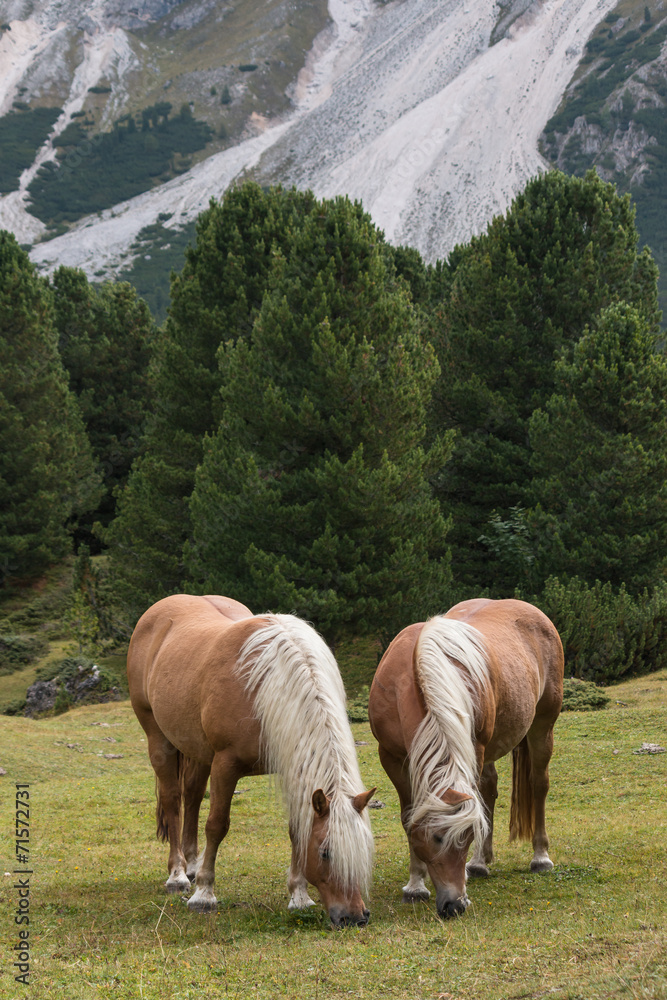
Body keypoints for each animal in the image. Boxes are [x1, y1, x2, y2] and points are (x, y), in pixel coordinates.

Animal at [127, 594, 375, 927]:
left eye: (364, 849)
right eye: (325, 853)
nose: (355, 917)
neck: (268, 687)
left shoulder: (290, 767)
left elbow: (296, 829)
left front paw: (299, 896)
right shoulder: (225, 765)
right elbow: (216, 825)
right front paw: (204, 894)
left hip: (197, 750)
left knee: (192, 797)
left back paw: (191, 866)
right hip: (159, 740)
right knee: (173, 802)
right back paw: (178, 875)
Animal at [368, 598, 564, 919]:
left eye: (468, 836)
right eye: (436, 838)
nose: (455, 905)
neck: (415, 674)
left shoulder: (473, 747)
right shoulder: (391, 757)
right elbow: (409, 818)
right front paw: (415, 885)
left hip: (542, 727)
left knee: (538, 785)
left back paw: (539, 857)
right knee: (490, 787)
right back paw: (481, 863)